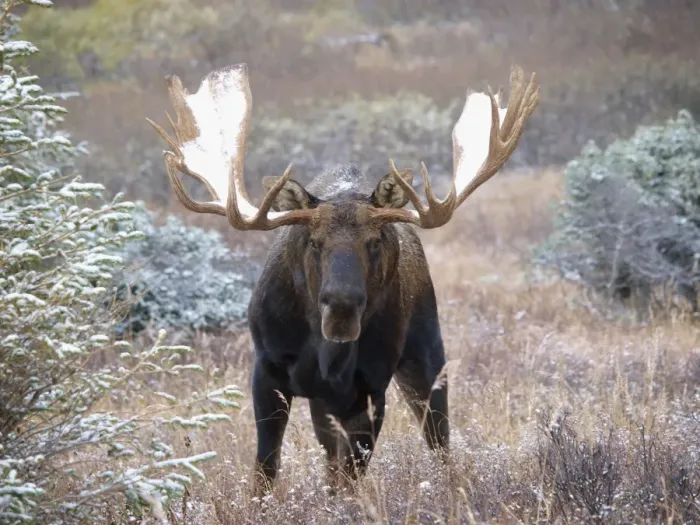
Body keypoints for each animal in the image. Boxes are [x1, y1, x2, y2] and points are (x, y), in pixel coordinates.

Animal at [146, 63, 539, 494]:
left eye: (374, 241)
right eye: (313, 241)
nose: (341, 309)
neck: (324, 354)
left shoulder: (368, 388)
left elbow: (351, 478)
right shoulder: (266, 371)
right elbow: (266, 468)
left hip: (425, 355)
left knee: (438, 440)